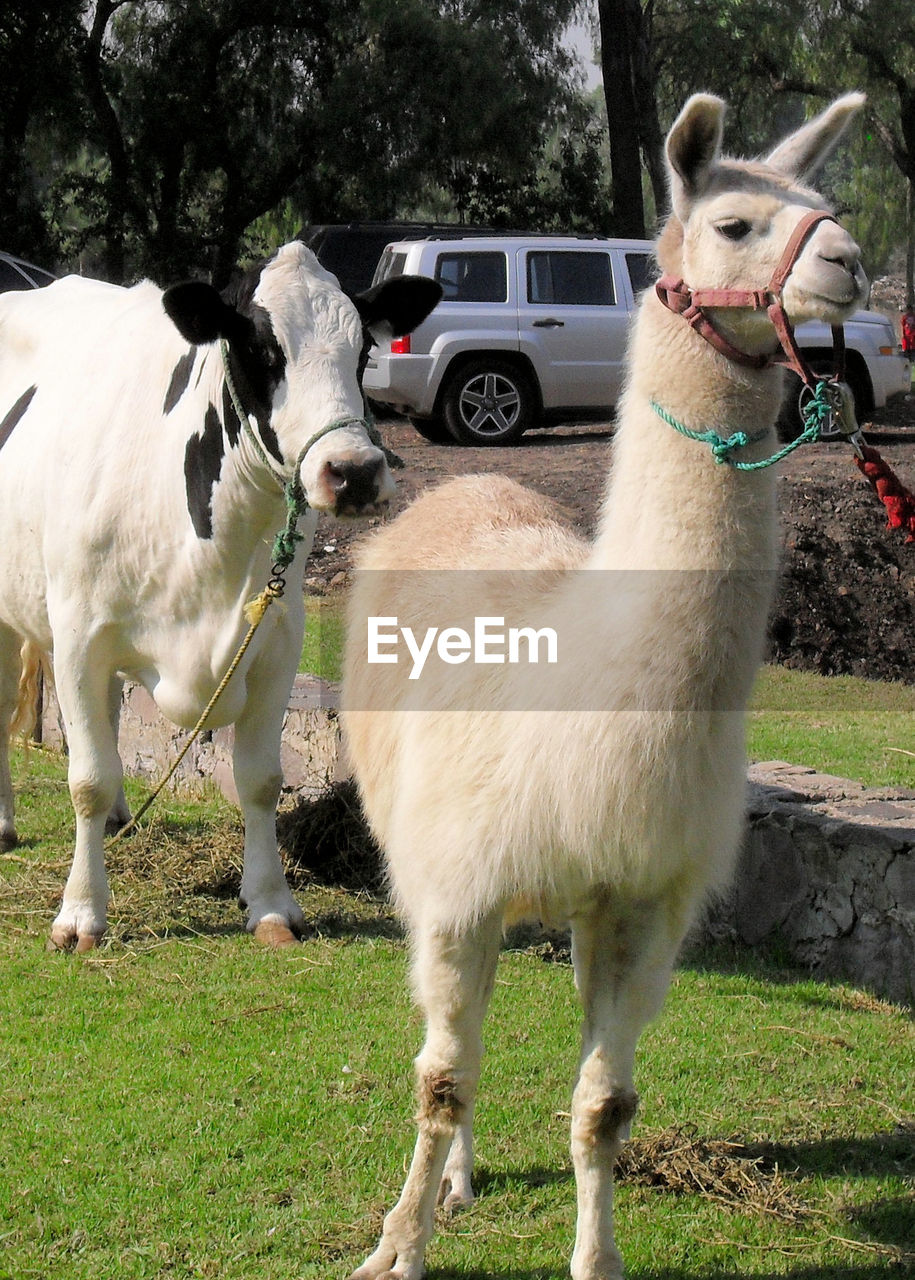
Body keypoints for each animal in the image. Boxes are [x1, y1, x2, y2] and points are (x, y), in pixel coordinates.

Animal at [0, 240, 440, 952]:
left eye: (363, 352)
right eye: (262, 350)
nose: (353, 473)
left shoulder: (276, 640)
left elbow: (260, 779)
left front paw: (271, 905)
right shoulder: (78, 636)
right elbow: (86, 778)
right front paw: (81, 914)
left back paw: (119, 818)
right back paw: (7, 823)